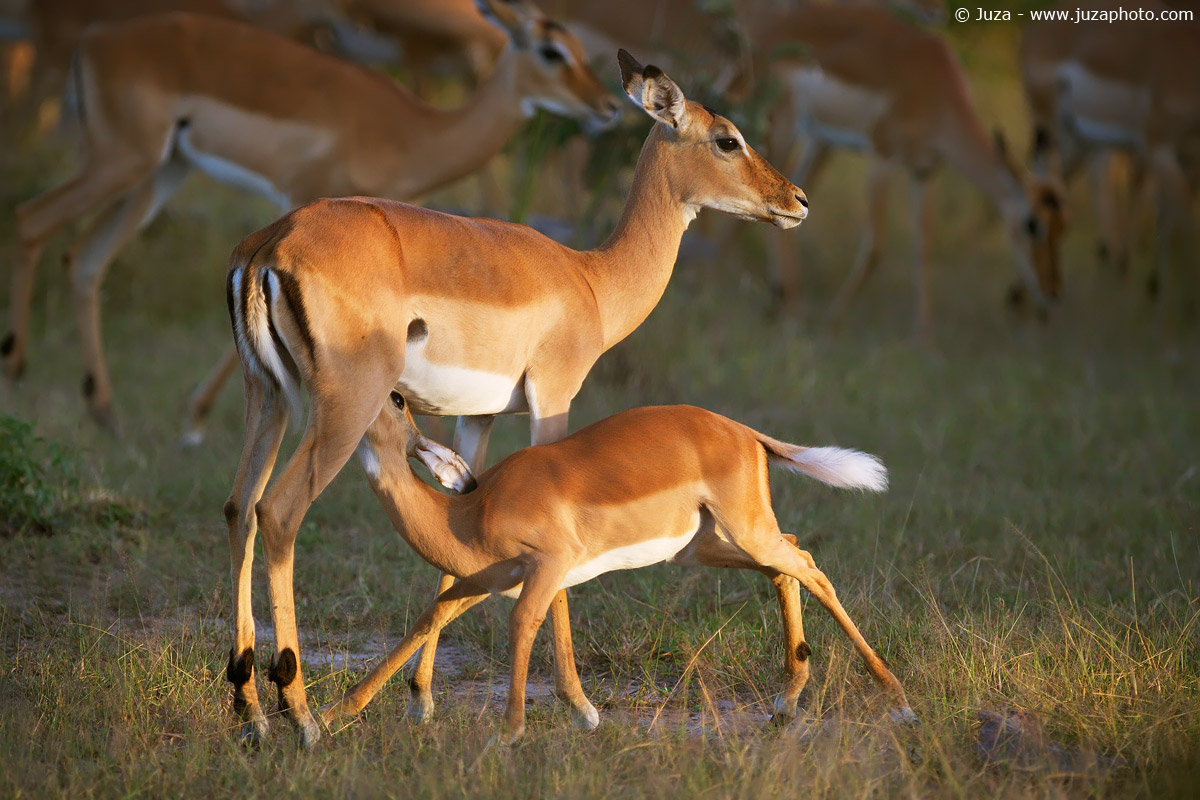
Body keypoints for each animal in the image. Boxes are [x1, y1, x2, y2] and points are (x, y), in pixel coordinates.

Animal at [3, 1, 620, 435]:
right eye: (551, 51)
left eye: (578, 46)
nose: (609, 106)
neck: (413, 130)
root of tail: (94, 41)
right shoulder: (303, 199)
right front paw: (195, 419)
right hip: (122, 161)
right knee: (31, 220)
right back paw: (18, 371)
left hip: (162, 170)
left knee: (86, 258)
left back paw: (104, 411)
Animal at [220, 49, 807, 747]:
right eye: (727, 139)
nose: (797, 200)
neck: (591, 280)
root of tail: (270, 244)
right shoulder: (553, 400)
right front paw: (580, 706)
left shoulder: (475, 417)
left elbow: (456, 543)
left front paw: (422, 698)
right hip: (344, 407)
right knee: (279, 512)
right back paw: (303, 717)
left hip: (268, 398)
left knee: (239, 507)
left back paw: (253, 712)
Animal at [320, 397, 915, 743]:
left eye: (395, 398)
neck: (467, 513)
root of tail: (746, 433)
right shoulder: (490, 580)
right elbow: (431, 617)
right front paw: (330, 716)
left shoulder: (545, 565)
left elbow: (522, 626)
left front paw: (509, 734)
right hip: (704, 547)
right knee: (786, 567)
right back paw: (786, 705)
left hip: (745, 532)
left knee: (812, 567)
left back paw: (899, 703)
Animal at [740, 3, 1064, 333]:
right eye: (1032, 224)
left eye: (1064, 225)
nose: (1052, 292)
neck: (938, 90)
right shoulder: (882, 160)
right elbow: (874, 249)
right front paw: (831, 327)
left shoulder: (924, 172)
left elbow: (923, 249)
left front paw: (925, 340)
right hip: (784, 121)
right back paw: (789, 312)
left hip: (816, 138)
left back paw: (783, 305)